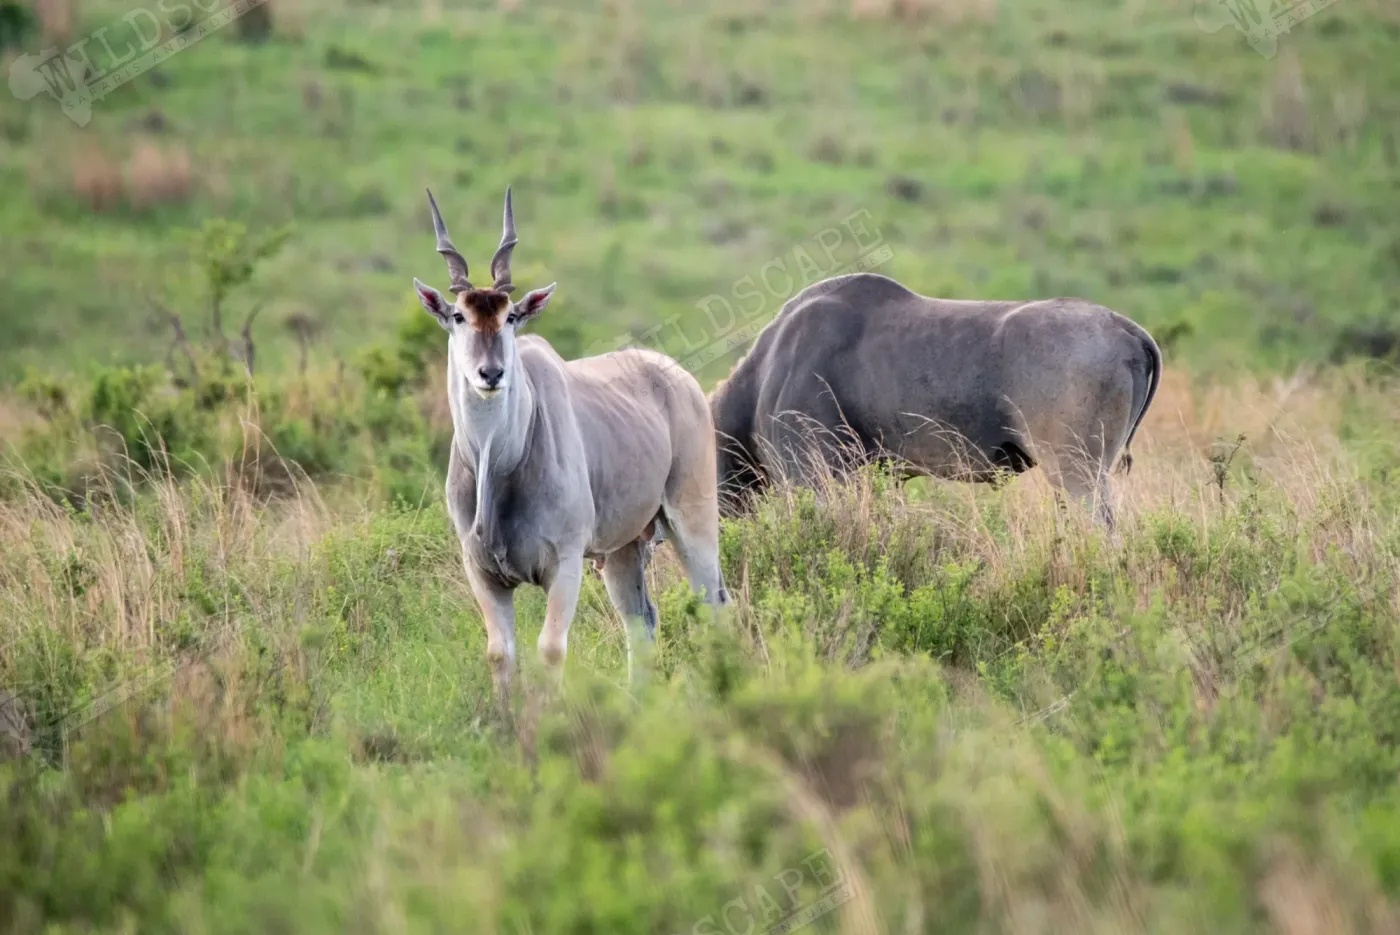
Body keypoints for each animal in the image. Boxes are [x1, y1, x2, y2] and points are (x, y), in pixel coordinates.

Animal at [414, 188, 729, 705]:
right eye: (458, 316)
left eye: (511, 315)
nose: (491, 374)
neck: (500, 463)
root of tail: (680, 378)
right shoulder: (481, 571)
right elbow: (500, 654)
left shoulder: (563, 563)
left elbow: (551, 650)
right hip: (623, 549)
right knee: (642, 621)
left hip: (692, 519)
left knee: (716, 604)